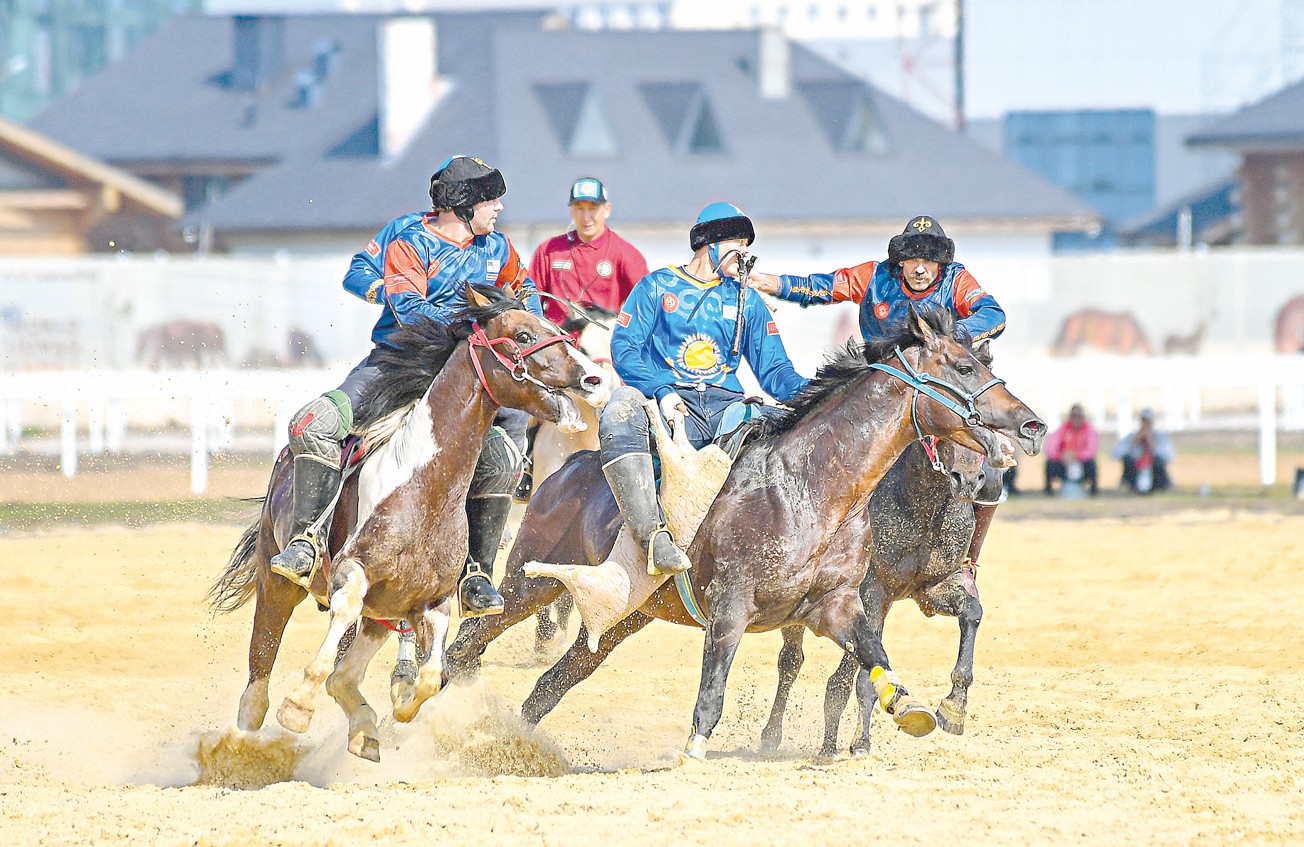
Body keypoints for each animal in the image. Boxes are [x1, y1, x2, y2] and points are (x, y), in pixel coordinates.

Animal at [207, 285, 610, 760]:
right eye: (524, 334)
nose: (594, 379)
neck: (425, 489)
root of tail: (285, 462)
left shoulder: (429, 604)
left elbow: (429, 676)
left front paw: (388, 713)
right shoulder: (351, 572)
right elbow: (337, 636)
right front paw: (300, 705)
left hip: (380, 614)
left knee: (349, 668)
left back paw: (363, 725)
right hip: (278, 584)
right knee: (258, 680)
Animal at [756, 435, 985, 750]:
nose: (969, 479)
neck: (921, 505)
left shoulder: (934, 586)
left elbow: (972, 612)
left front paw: (954, 708)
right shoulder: (873, 591)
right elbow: (857, 677)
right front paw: (859, 741)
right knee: (790, 662)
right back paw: (772, 735)